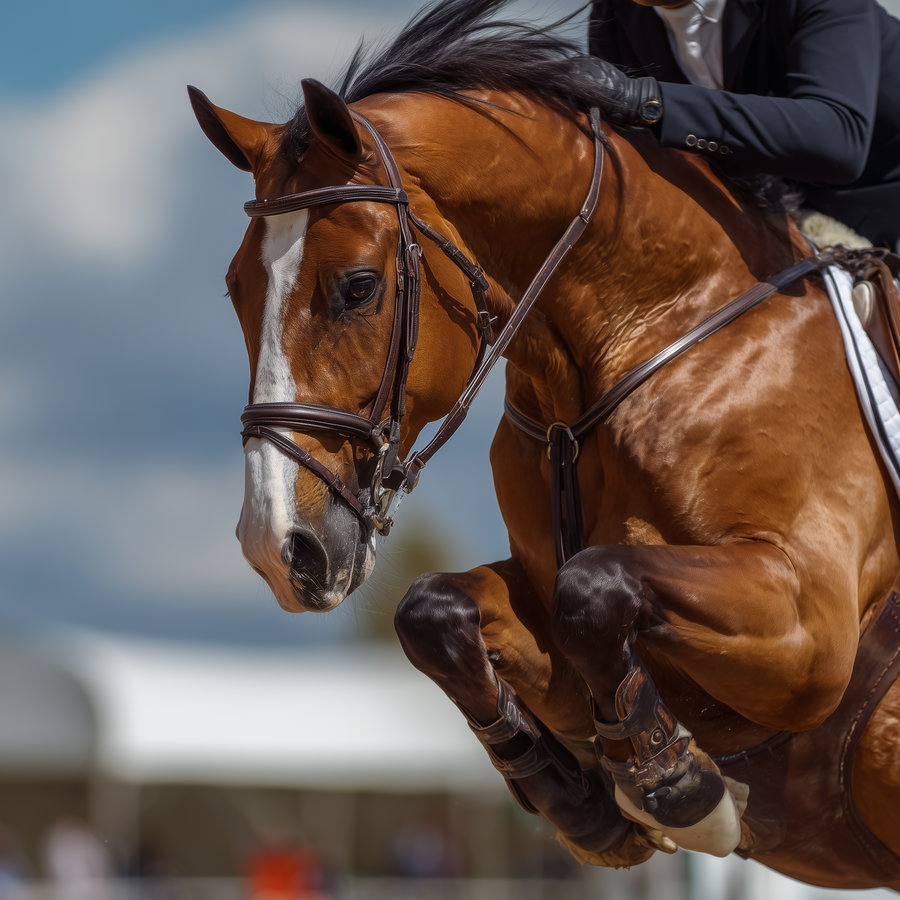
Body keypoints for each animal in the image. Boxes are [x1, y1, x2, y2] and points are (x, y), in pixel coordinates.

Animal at [189, 0, 900, 888]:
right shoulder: (542, 613)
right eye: (234, 289)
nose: (279, 547)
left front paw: (677, 788)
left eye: (357, 287)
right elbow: (436, 611)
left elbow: (593, 588)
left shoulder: (809, 627)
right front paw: (581, 803)